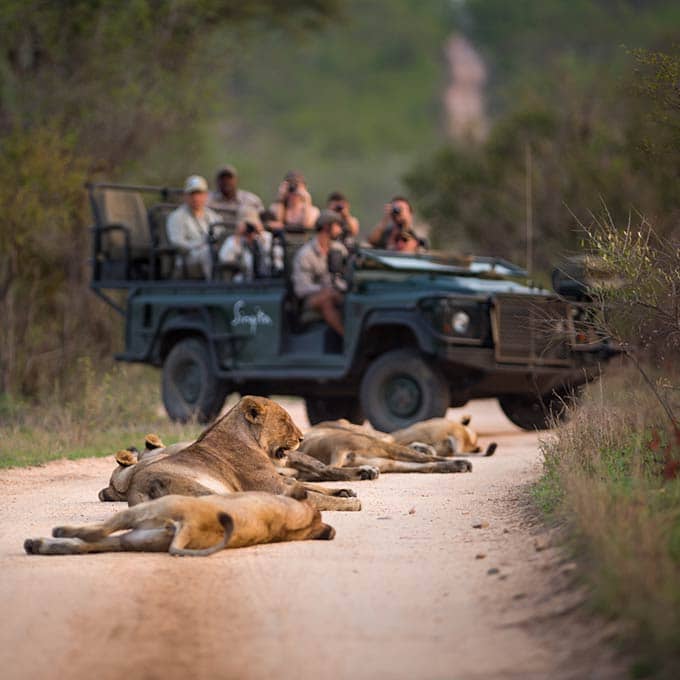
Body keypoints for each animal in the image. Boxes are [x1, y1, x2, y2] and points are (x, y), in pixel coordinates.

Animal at [99, 396, 362, 512]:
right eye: (284, 420)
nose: (302, 438)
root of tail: (138, 491)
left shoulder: (280, 480)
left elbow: (311, 485)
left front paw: (344, 490)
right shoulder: (276, 487)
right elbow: (316, 496)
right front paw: (350, 502)